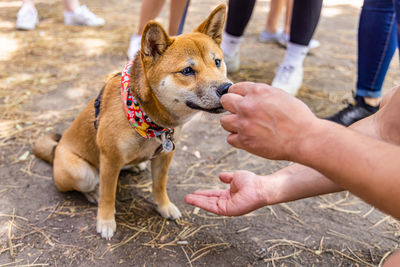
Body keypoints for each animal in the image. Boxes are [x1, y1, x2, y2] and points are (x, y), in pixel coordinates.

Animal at [34, 4, 231, 240]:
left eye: (217, 62)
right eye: (187, 71)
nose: (226, 88)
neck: (148, 118)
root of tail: (56, 151)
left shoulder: (165, 156)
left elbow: (159, 186)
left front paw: (164, 207)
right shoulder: (109, 160)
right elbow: (108, 195)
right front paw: (105, 221)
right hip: (81, 172)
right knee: (90, 184)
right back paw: (93, 193)